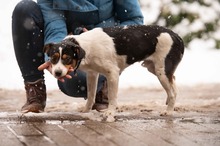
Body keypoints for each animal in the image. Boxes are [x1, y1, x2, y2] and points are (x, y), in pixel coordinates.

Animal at [43, 24, 185, 116]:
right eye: (53, 58)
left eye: (67, 59)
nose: (57, 73)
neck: (86, 47)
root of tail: (177, 36)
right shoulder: (92, 74)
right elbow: (91, 95)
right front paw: (86, 111)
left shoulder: (113, 73)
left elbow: (112, 96)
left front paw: (110, 113)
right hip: (153, 68)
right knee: (174, 85)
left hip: (162, 71)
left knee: (172, 93)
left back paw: (168, 111)